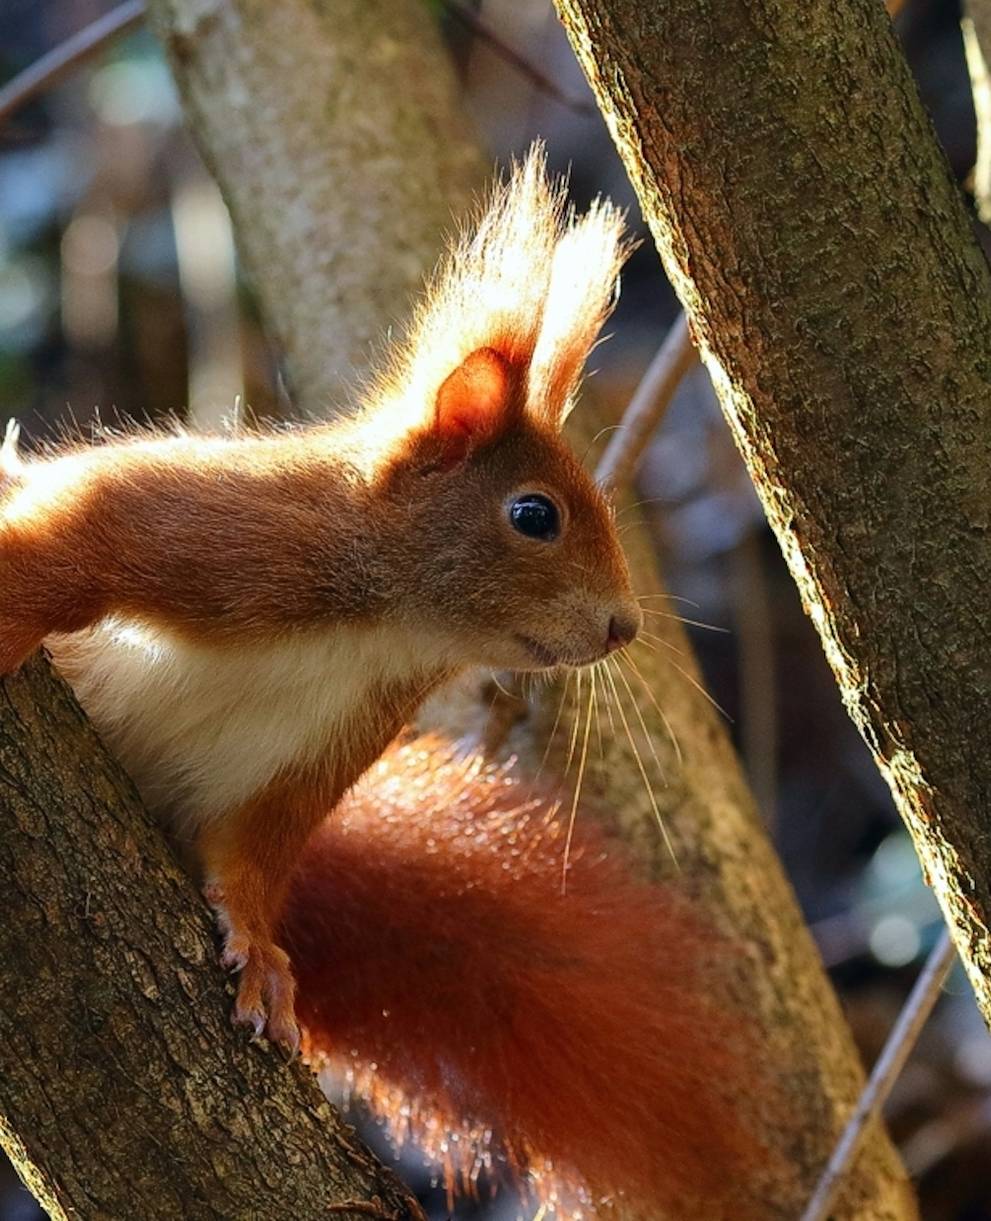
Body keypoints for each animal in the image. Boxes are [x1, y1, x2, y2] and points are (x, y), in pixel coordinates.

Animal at [0, 150, 766, 1211]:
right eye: (534, 514)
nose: (625, 627)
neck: (379, 627)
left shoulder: (322, 747)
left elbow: (253, 852)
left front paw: (261, 953)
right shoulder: (221, 530)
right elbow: (82, 536)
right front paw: (12, 592)